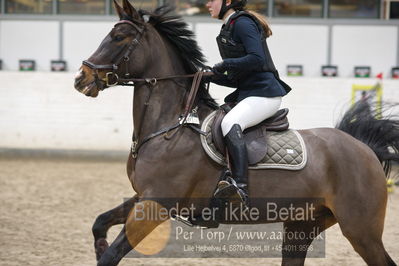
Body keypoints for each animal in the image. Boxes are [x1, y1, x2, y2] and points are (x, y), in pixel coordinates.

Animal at [73, 1, 398, 264]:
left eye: (118, 37)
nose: (81, 78)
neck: (167, 128)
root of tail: (365, 148)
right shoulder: (143, 197)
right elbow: (99, 223)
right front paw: (99, 247)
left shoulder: (156, 204)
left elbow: (113, 255)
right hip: (303, 224)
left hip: (361, 230)